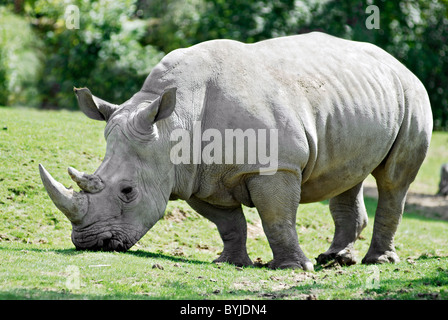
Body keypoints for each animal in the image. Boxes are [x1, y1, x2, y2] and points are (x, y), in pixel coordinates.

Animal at [40, 32, 432, 270]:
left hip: (412, 92)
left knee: (393, 181)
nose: (89, 243)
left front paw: (292, 268)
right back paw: (335, 260)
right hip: (356, 99)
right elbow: (228, 223)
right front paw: (229, 263)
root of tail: (397, 62)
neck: (172, 126)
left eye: (127, 191)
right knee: (348, 175)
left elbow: (276, 218)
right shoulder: (194, 176)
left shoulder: (276, 166)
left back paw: (377, 262)